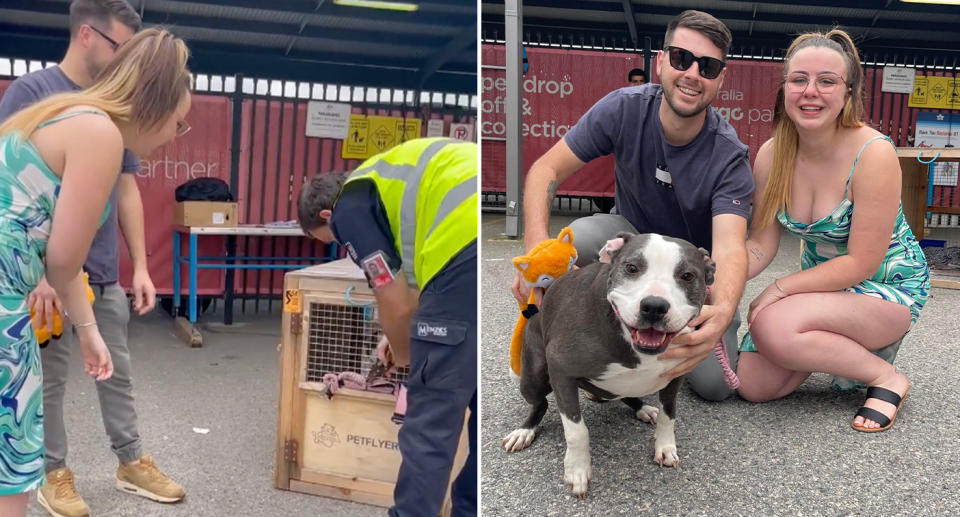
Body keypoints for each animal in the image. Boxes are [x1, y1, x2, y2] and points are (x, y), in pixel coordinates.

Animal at [502, 233, 712, 496]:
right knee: (540, 403)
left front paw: (664, 447)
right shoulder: (561, 369)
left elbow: (668, 414)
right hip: (533, 376)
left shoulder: (676, 375)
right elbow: (577, 431)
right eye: (631, 268)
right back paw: (524, 431)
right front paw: (578, 470)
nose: (654, 306)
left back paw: (643, 408)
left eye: (687, 276)